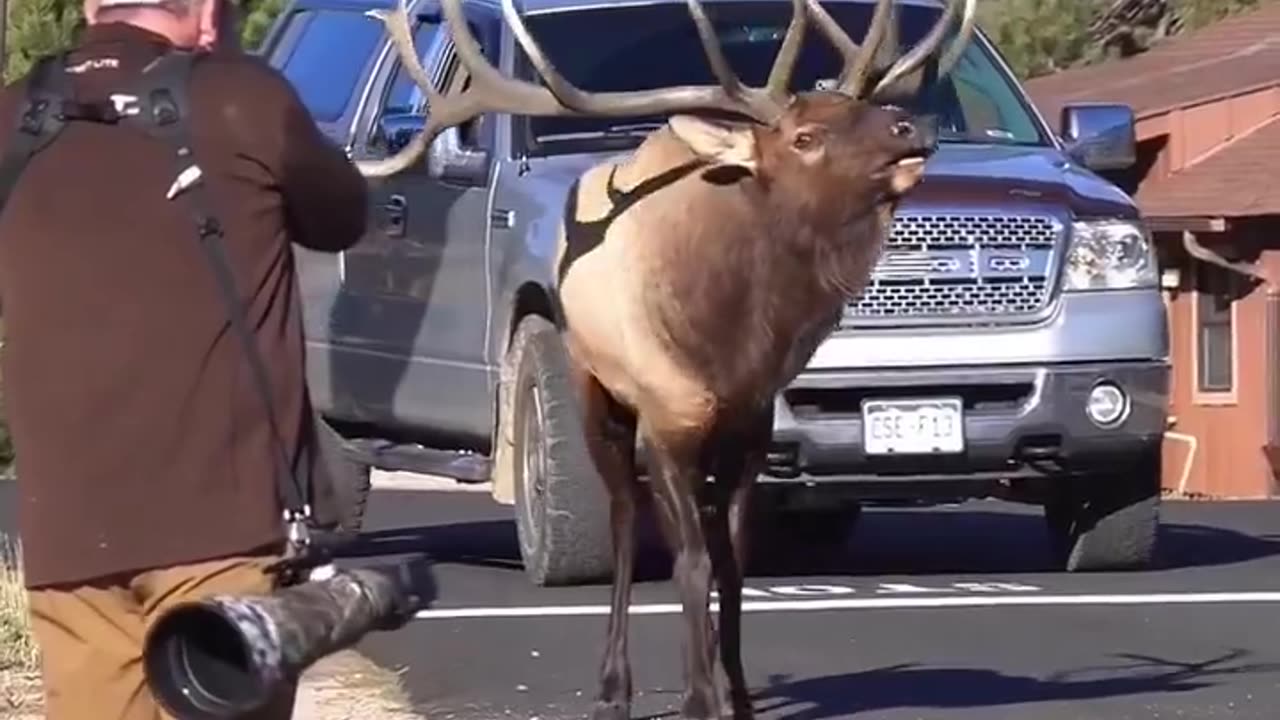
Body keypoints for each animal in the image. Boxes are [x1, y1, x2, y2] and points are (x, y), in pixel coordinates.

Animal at [355, 0, 972, 712]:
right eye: (805, 138)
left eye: (856, 107)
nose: (910, 124)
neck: (730, 344)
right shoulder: (665, 422)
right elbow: (691, 562)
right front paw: (699, 697)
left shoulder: (750, 425)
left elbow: (731, 562)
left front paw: (737, 694)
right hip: (593, 392)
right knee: (625, 520)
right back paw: (613, 686)